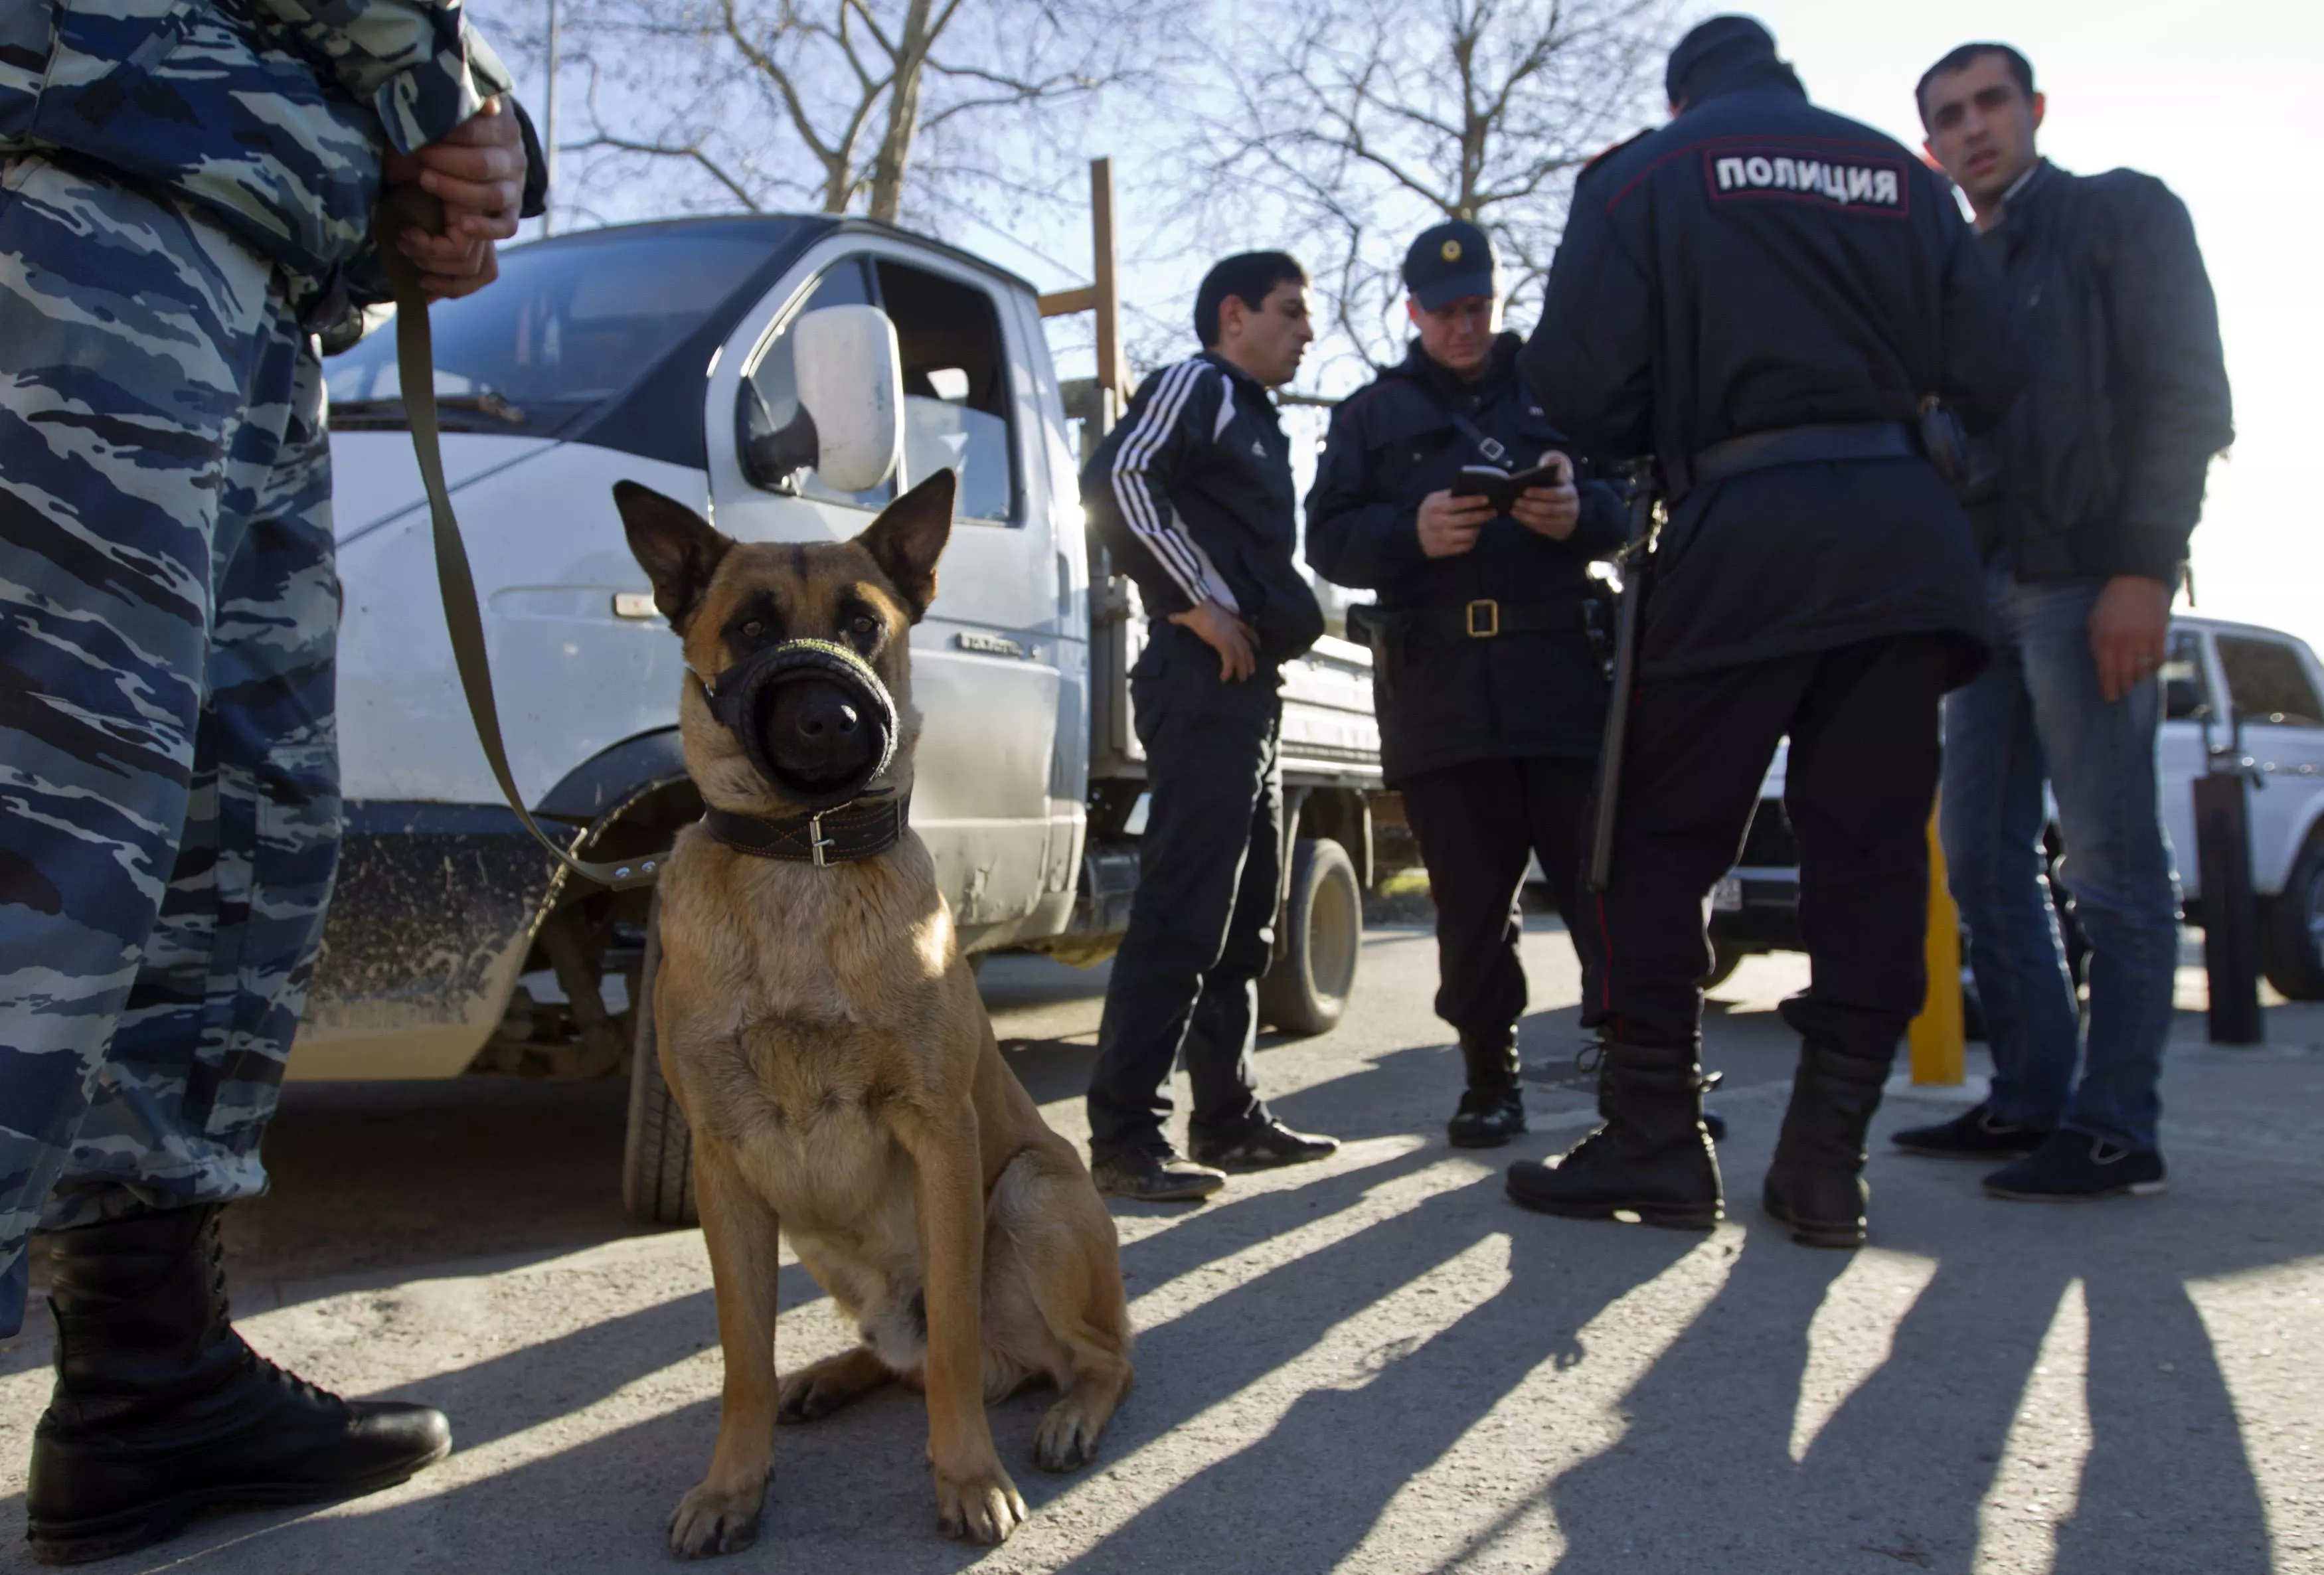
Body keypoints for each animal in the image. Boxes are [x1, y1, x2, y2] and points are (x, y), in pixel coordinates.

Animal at [614, 476, 1129, 1561]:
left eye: (864, 624)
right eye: (750, 627)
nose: (827, 716)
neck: (800, 860)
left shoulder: (940, 1133)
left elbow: (952, 1355)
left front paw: (969, 1477)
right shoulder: (724, 1167)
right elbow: (743, 1357)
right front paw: (733, 1486)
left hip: (1031, 1192)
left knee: (1096, 1354)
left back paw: (1068, 1413)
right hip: (816, 1241)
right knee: (897, 1358)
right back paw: (828, 1376)